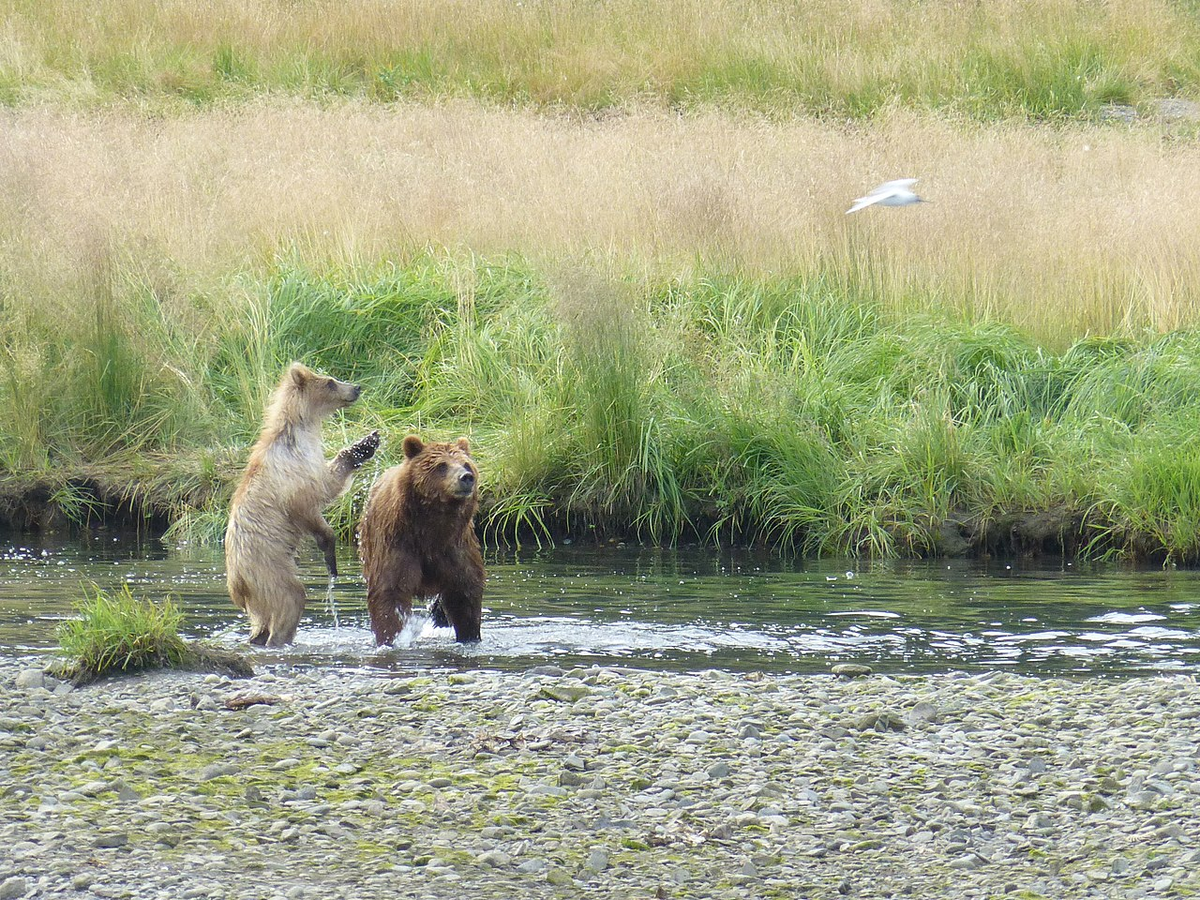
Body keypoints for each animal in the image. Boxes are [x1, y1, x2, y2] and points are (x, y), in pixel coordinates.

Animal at [223, 362, 376, 652]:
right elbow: (315, 497)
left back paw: (257, 638)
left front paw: (366, 443)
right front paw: (329, 551)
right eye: (330, 381)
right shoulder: (293, 474)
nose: (357, 387)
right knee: (291, 597)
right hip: (267, 568)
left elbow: (327, 478)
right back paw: (280, 639)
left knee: (262, 619)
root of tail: (236, 585)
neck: (300, 431)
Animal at [357, 434, 484, 643]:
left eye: (466, 464)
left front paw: (469, 635)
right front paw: (392, 638)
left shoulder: (455, 547)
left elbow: (464, 593)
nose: (466, 477)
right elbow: (390, 592)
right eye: (442, 465)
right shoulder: (398, 543)